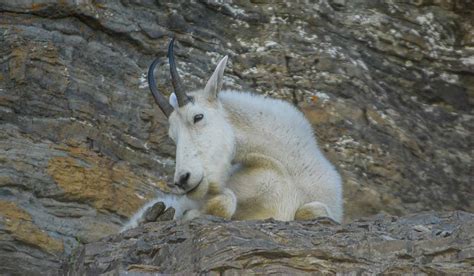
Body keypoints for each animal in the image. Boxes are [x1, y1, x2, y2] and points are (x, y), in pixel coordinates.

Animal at [124, 38, 342, 227]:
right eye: (172, 135)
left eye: (198, 117)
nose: (182, 179)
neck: (287, 172)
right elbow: (226, 200)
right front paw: (184, 215)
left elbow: (313, 209)